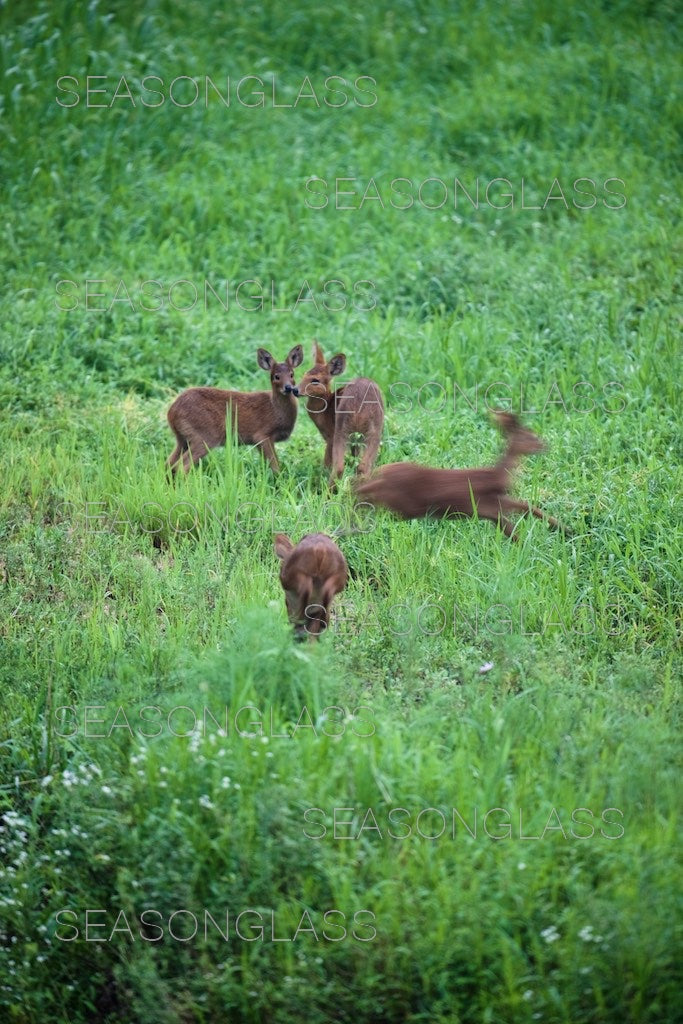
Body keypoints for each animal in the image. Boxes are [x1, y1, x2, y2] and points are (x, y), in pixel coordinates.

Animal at [166, 344, 303, 471]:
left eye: (292, 374)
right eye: (276, 376)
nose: (288, 387)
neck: (275, 409)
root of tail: (171, 412)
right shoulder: (262, 435)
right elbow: (275, 466)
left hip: (183, 439)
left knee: (169, 464)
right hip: (204, 436)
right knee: (181, 467)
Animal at [299, 339, 385, 487]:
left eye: (315, 380)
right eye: (304, 374)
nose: (293, 389)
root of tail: (359, 409)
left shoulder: (330, 436)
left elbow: (327, 464)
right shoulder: (355, 440)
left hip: (343, 430)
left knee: (339, 466)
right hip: (369, 431)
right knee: (362, 466)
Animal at [352, 409, 565, 544]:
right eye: (530, 435)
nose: (545, 446)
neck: (497, 476)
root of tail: (381, 472)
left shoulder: (492, 508)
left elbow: (518, 519)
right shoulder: (486, 504)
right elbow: (521, 513)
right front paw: (559, 530)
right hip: (398, 500)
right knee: (362, 491)